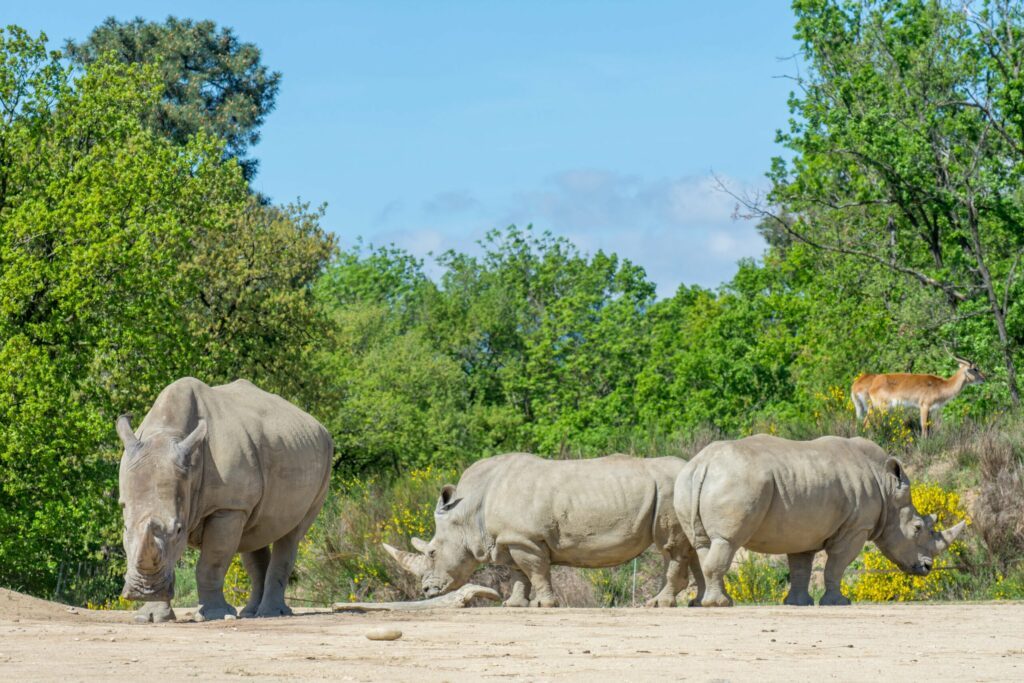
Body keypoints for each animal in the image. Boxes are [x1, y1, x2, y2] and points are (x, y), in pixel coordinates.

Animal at [118, 376, 331, 622]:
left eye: (179, 530)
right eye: (125, 528)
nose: (144, 590)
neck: (167, 433)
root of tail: (319, 426)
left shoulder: (228, 507)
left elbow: (212, 563)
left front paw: (215, 615)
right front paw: (151, 616)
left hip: (324, 460)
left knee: (291, 534)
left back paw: (270, 613)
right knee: (254, 536)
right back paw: (251, 613)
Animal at [385, 454, 696, 610]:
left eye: (433, 552)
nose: (427, 591)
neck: (468, 513)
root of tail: (689, 464)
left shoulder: (525, 539)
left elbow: (536, 571)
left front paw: (544, 604)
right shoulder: (511, 539)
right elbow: (518, 574)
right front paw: (515, 604)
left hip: (670, 490)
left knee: (670, 548)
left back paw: (657, 604)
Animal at [675, 436, 962, 606]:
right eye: (917, 528)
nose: (927, 567)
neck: (887, 489)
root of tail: (704, 464)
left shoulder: (803, 530)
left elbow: (801, 567)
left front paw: (797, 603)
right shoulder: (855, 528)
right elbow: (835, 566)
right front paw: (838, 603)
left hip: (689, 481)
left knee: (703, 544)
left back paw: (713, 602)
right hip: (738, 480)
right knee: (726, 542)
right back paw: (720, 604)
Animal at [847, 356, 983, 440]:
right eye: (975, 368)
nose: (984, 377)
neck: (940, 386)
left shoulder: (930, 410)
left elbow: (929, 426)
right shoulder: (924, 406)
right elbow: (923, 426)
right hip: (880, 408)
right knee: (868, 424)